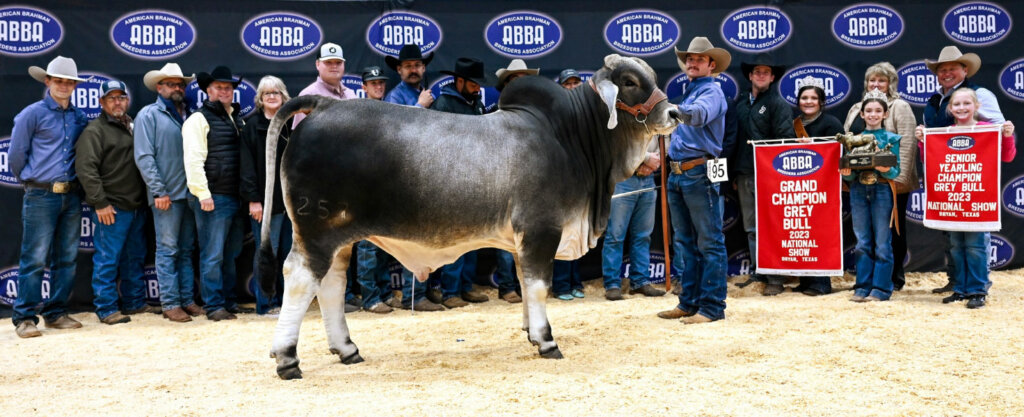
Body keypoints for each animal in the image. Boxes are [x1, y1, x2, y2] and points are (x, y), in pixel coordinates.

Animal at [259, 54, 679, 379]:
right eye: (629, 82)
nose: (675, 112)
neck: (571, 137)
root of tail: (323, 103)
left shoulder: (522, 239)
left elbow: (524, 284)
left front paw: (530, 333)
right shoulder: (542, 229)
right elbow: (539, 286)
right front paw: (546, 341)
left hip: (340, 237)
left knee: (331, 284)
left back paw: (346, 349)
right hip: (317, 230)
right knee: (299, 279)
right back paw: (287, 358)